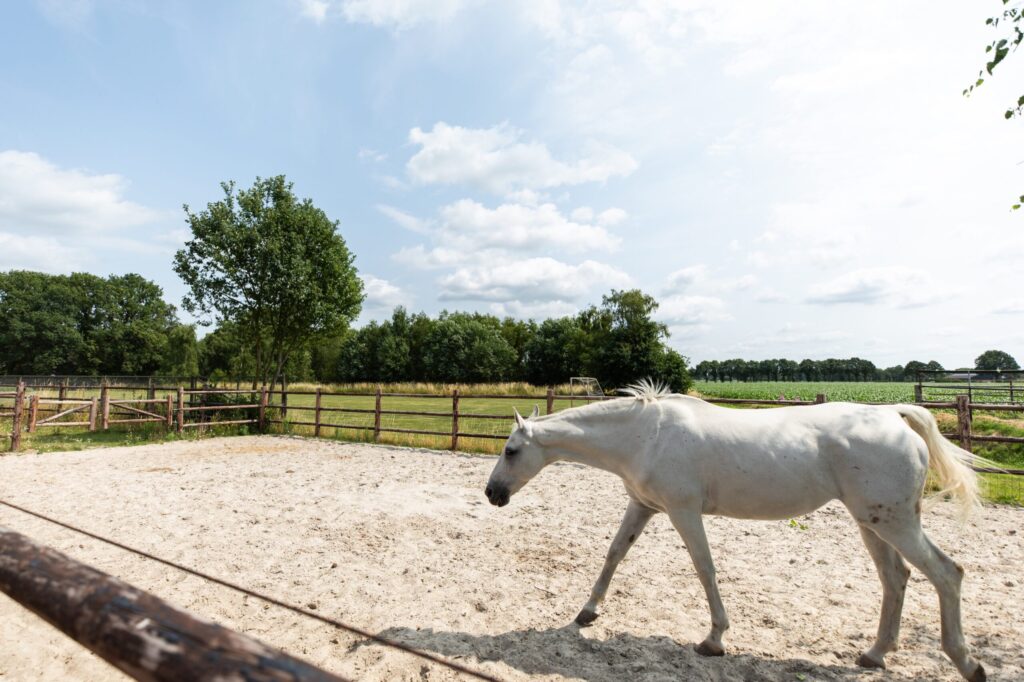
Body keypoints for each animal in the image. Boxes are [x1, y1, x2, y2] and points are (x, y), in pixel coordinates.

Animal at [483, 378, 987, 675]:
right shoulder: (642, 506)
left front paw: (713, 640)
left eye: (510, 450)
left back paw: (967, 663)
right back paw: (874, 654)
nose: (492, 494)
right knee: (896, 578)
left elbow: (704, 569)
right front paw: (587, 612)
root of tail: (892, 415)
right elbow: (614, 553)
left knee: (947, 574)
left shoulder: (684, 512)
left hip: (893, 522)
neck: (646, 436)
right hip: (873, 522)